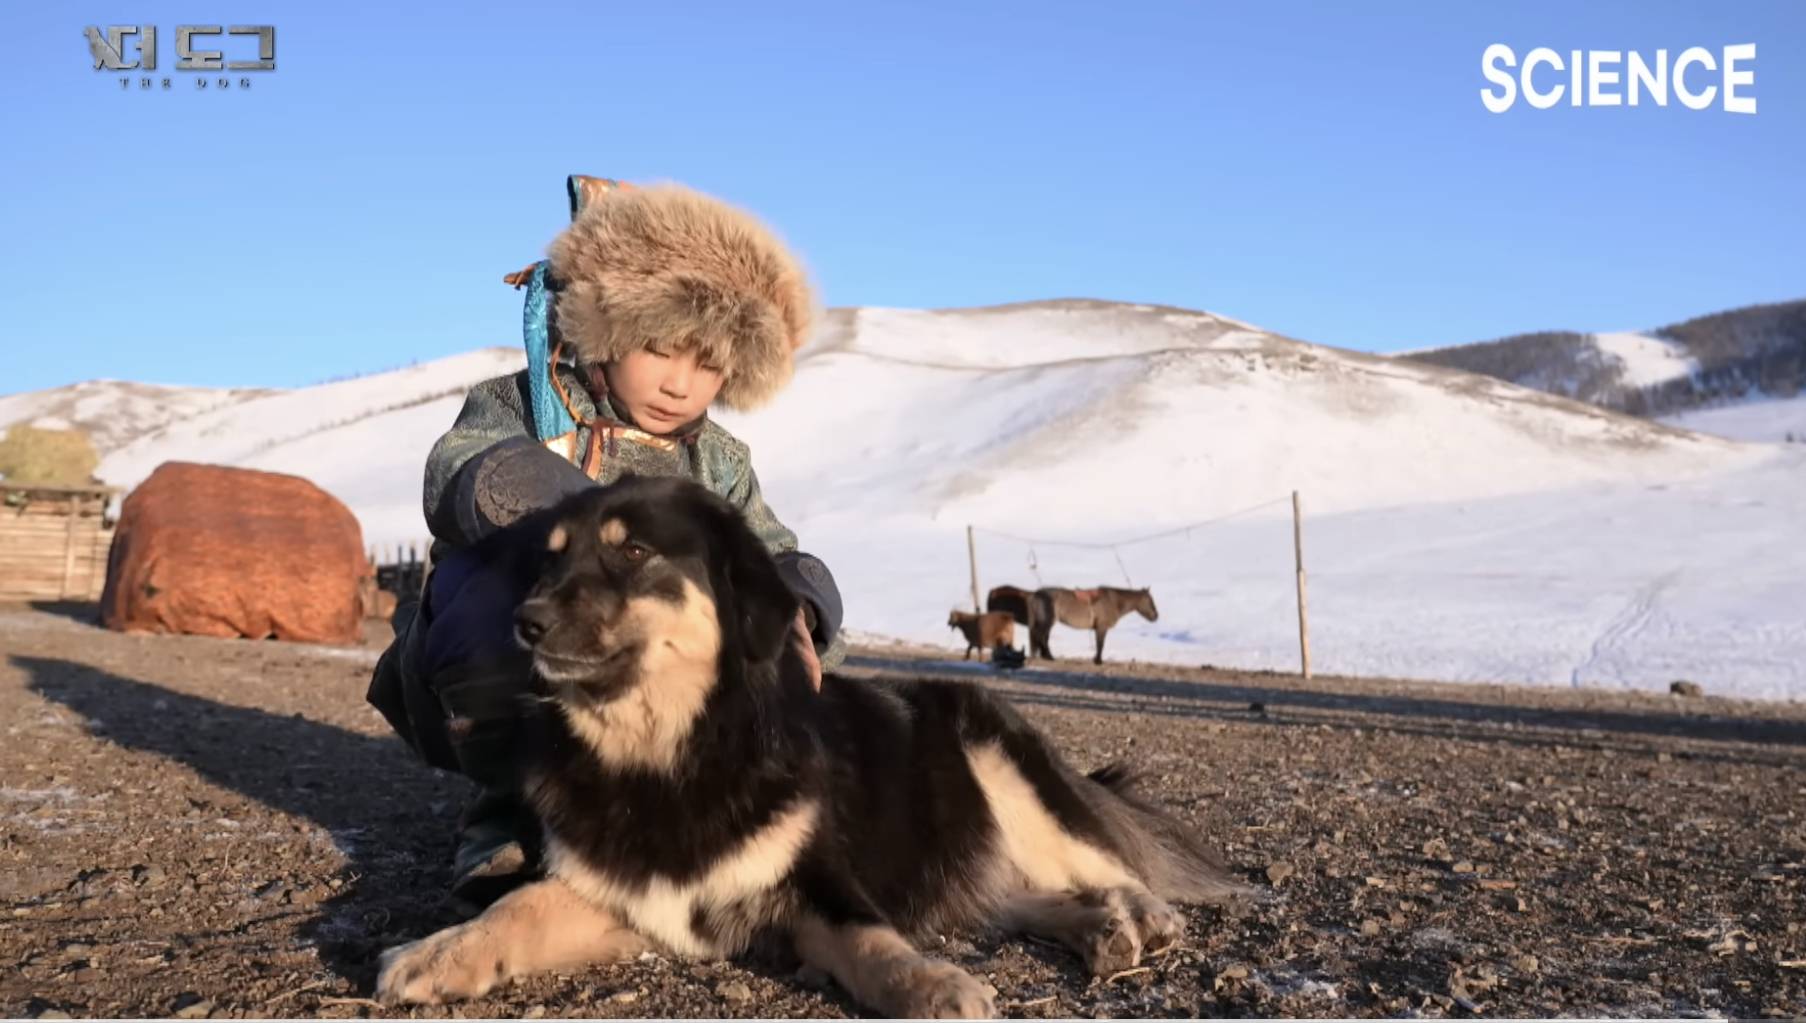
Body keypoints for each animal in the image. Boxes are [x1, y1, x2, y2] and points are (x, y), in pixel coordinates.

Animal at [377, 477, 1242, 1019]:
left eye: (632, 553)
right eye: (552, 555)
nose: (525, 620)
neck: (670, 755)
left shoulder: (818, 878)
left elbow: (870, 935)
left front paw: (931, 984)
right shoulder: (637, 894)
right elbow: (518, 903)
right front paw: (437, 952)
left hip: (1003, 771)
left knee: (1102, 860)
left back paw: (1141, 915)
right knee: (1013, 894)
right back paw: (1099, 928)